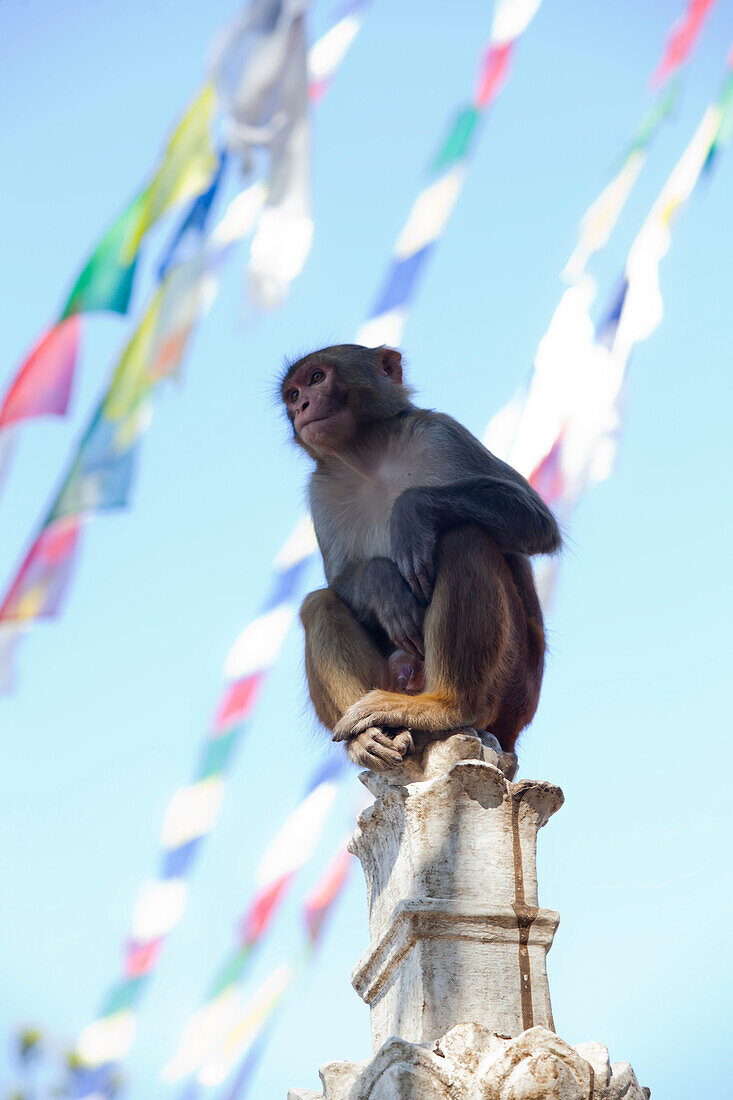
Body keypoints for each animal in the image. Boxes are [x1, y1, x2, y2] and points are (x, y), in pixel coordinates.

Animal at [280, 338, 559, 770]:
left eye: (316, 378)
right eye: (292, 395)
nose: (302, 407)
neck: (370, 458)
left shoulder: (440, 432)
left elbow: (536, 521)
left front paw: (411, 513)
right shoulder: (321, 487)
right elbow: (340, 579)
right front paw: (383, 583)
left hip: (511, 687)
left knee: (463, 538)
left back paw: (448, 705)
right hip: (393, 676)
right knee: (320, 603)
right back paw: (368, 739)